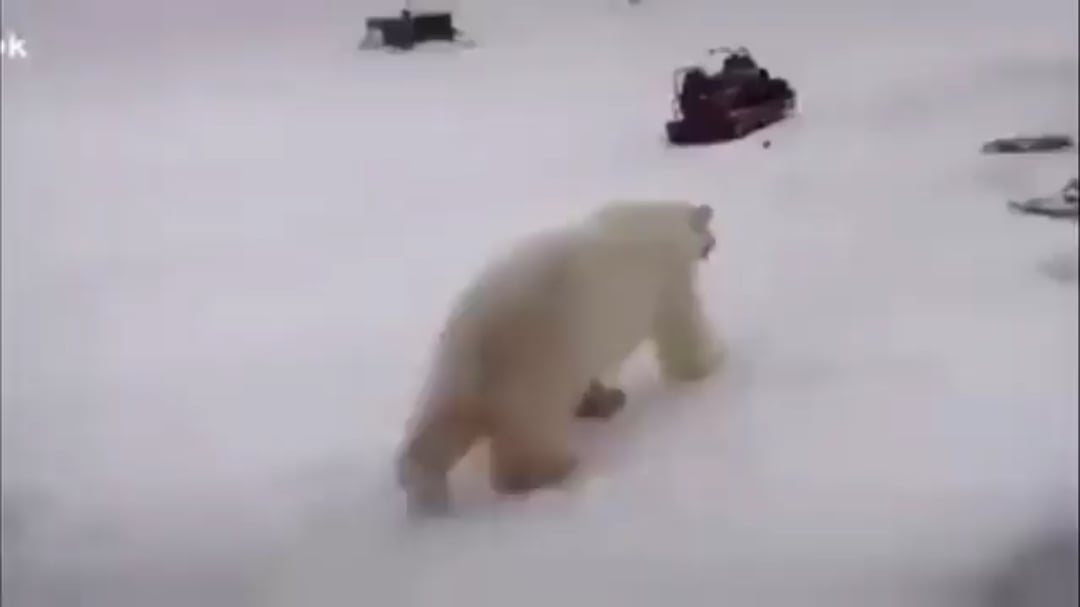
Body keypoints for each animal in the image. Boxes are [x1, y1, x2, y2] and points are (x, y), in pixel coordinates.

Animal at [394, 200, 722, 516]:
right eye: (710, 235)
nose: (713, 244)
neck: (655, 220)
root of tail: (474, 334)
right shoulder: (666, 276)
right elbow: (681, 327)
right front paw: (711, 364)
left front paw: (606, 399)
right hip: (540, 357)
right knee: (531, 432)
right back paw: (557, 469)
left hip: (455, 369)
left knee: (441, 422)